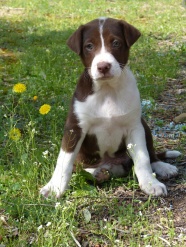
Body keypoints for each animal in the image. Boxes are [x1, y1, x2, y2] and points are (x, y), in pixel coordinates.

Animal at [40, 17, 181, 199]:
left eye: (115, 43)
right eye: (89, 46)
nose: (103, 66)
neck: (107, 90)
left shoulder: (134, 127)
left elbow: (142, 158)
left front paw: (150, 183)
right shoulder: (74, 128)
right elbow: (64, 160)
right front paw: (54, 187)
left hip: (144, 125)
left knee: (150, 153)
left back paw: (162, 166)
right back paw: (96, 173)